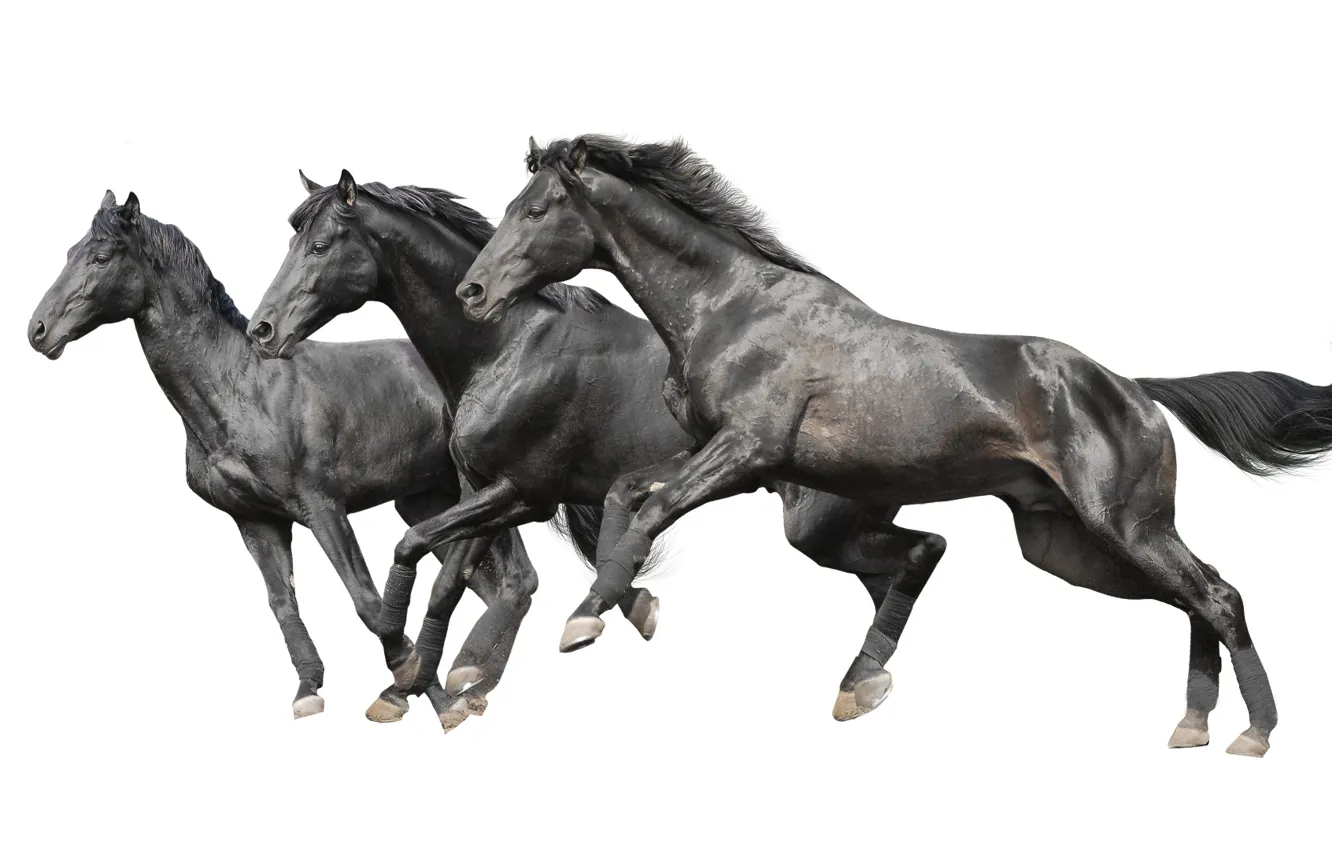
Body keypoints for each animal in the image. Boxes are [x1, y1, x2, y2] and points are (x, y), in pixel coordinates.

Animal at [28, 190, 541, 729]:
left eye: (101, 257)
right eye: (70, 252)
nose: (38, 331)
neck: (241, 388)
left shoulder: (322, 507)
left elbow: (367, 600)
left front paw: (412, 684)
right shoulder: (256, 521)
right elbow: (282, 603)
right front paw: (311, 691)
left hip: (479, 496)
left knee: (516, 582)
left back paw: (461, 687)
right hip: (426, 501)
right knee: (495, 586)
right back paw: (470, 687)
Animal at [246, 170, 950, 727]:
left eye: (319, 245)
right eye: (291, 241)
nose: (263, 330)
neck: (505, 346)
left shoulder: (522, 494)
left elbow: (417, 549)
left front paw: (430, 673)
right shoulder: (483, 493)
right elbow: (450, 577)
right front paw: (422, 683)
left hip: (819, 523)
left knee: (916, 556)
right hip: (834, 529)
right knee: (902, 566)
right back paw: (865, 682)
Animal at [458, 135, 1332, 756]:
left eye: (536, 210)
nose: (473, 291)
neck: (732, 308)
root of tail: (1135, 389)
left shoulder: (744, 451)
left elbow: (649, 511)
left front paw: (587, 620)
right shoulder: (727, 459)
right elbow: (623, 494)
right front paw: (612, 608)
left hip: (1126, 526)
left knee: (1218, 595)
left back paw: (1253, 733)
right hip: (1070, 547)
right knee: (1196, 596)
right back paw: (1192, 725)